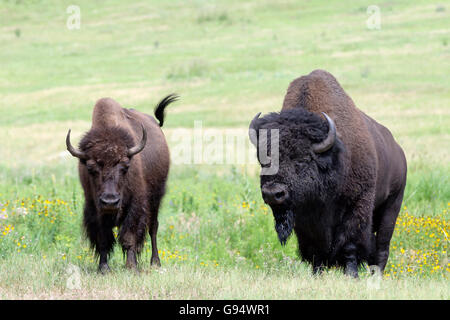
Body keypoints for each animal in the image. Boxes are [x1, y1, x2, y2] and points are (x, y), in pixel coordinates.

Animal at [66, 94, 178, 274]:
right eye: (90, 167)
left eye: (125, 166)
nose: (110, 201)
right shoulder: (95, 208)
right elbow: (103, 239)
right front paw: (104, 268)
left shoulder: (134, 206)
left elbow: (129, 236)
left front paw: (131, 267)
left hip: (156, 199)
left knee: (153, 228)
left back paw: (155, 262)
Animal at [250, 70, 408, 278]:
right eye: (264, 160)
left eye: (303, 159)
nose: (273, 193)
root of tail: (398, 151)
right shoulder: (305, 220)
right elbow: (315, 250)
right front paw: (317, 274)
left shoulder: (356, 205)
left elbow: (350, 244)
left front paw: (351, 275)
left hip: (392, 204)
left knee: (382, 245)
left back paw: (376, 277)